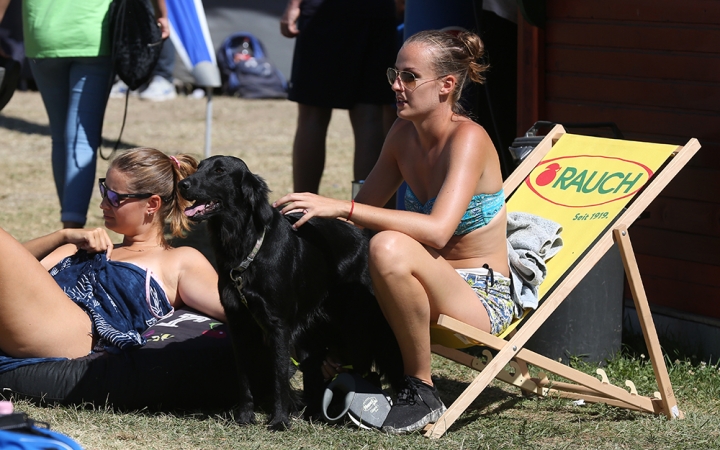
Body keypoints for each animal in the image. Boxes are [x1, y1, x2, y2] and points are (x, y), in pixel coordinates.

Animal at [177, 156, 402, 430]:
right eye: (199, 167)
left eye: (220, 170)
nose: (182, 184)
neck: (245, 247)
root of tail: (364, 239)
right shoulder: (239, 324)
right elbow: (244, 377)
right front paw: (245, 417)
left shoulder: (278, 326)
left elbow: (279, 377)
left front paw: (279, 420)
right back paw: (314, 412)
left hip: (357, 327)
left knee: (366, 368)